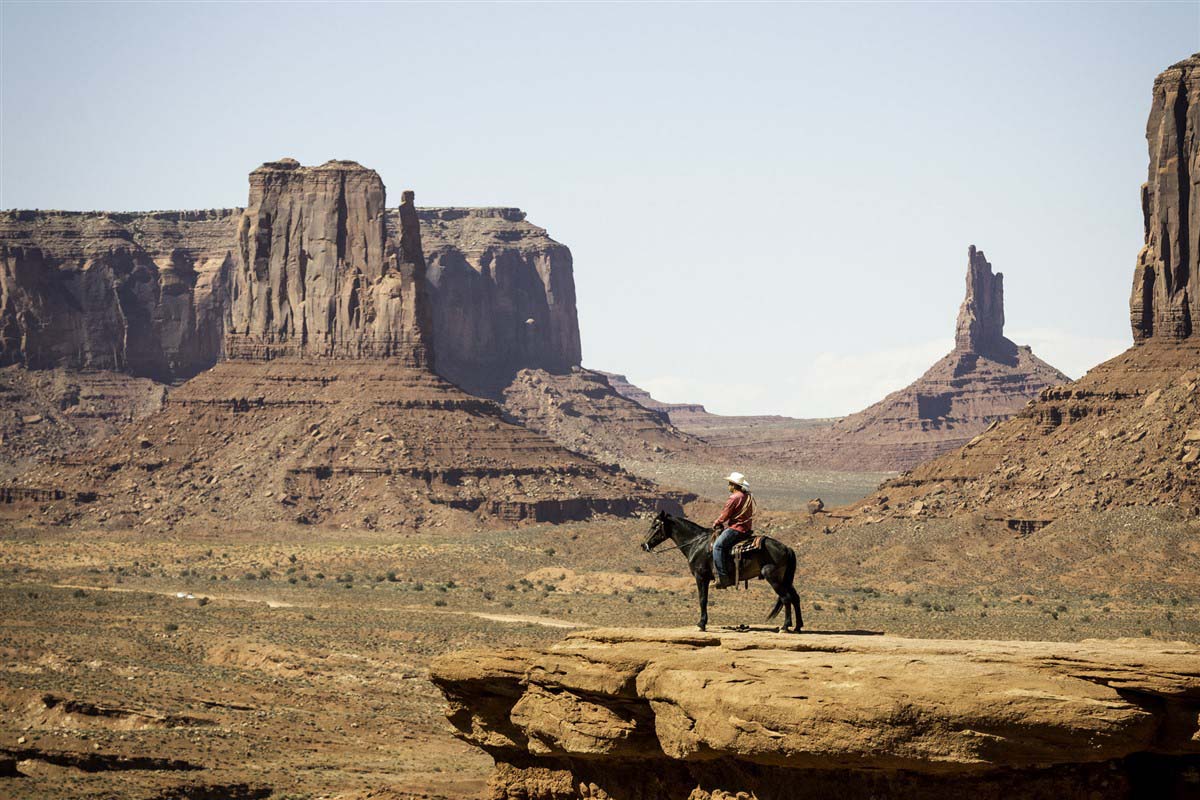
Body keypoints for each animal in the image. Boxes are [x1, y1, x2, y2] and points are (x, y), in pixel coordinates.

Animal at [643, 510, 801, 633]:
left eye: (655, 525)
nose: (643, 545)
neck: (696, 543)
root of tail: (787, 548)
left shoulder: (701, 577)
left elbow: (702, 599)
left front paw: (701, 624)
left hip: (773, 578)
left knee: (786, 598)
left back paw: (785, 627)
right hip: (785, 579)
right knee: (795, 598)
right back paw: (798, 627)